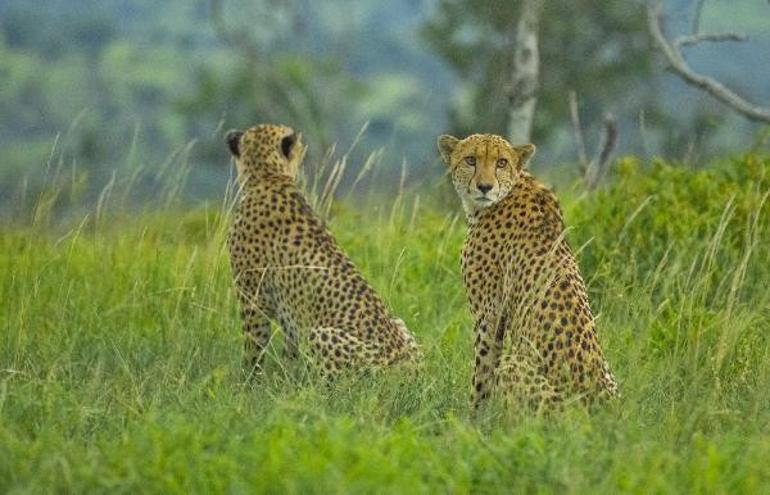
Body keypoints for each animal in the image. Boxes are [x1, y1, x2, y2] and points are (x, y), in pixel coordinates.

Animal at [222, 123, 420, 376]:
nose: (231, 134)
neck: (269, 176)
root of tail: (407, 369)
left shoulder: (253, 299)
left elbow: (253, 348)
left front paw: (248, 380)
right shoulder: (287, 313)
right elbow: (289, 350)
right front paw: (285, 378)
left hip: (320, 334)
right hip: (400, 324)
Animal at [438, 132, 616, 410]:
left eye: (501, 162)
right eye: (470, 160)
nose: (485, 187)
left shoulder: (488, 314)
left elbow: (482, 371)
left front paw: (474, 415)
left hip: (517, 366)